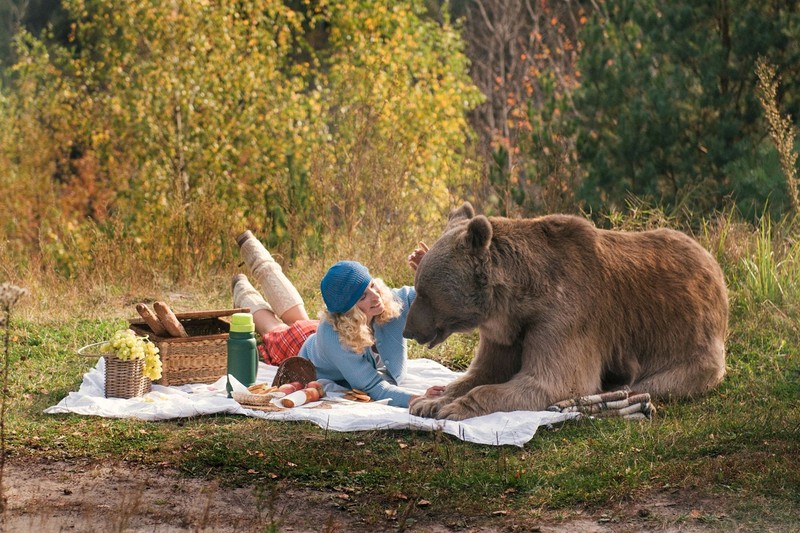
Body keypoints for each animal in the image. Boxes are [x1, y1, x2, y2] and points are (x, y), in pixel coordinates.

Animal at [404, 202, 728, 418]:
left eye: (423, 292)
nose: (408, 330)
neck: (517, 302)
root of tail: (713, 266)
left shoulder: (565, 315)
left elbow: (552, 381)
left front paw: (454, 408)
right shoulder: (506, 334)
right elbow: (483, 372)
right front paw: (430, 401)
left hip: (689, 345)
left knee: (660, 381)